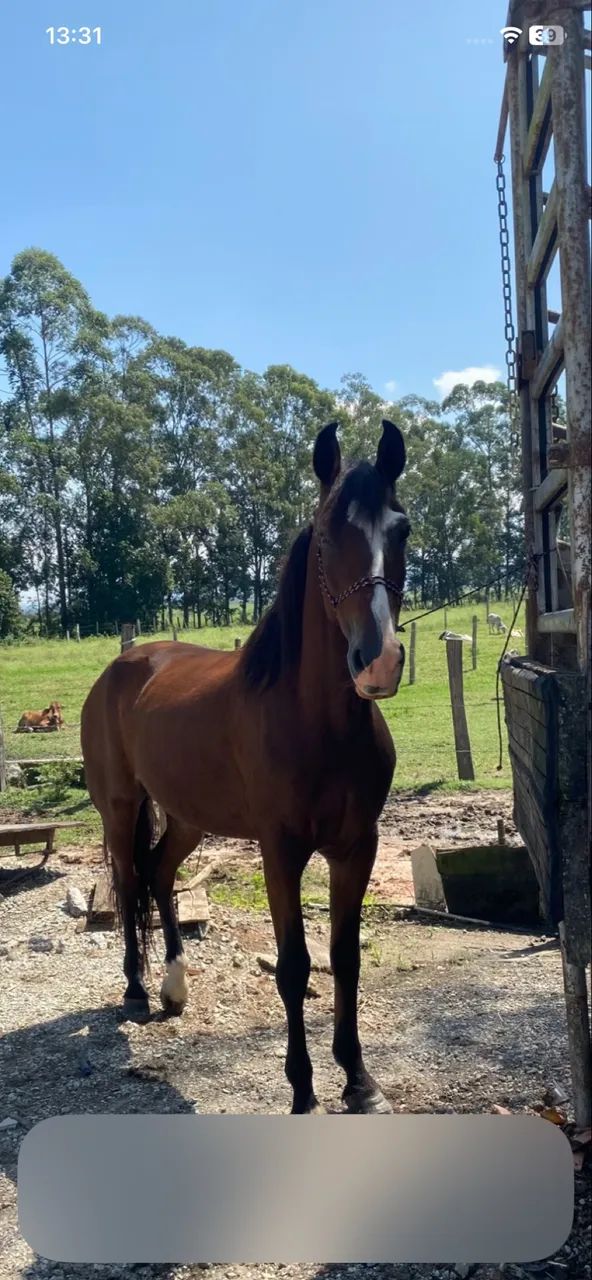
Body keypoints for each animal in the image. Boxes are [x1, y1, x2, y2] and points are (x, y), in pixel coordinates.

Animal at [81, 419, 410, 1115]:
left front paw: (359, 1080)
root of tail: (123, 664)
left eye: (401, 529)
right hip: (120, 809)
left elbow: (344, 958)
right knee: (128, 880)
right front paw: (303, 1089)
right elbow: (293, 966)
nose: (378, 660)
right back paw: (136, 991)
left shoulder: (357, 847)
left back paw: (175, 986)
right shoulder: (280, 850)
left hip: (187, 818)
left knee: (159, 874)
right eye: (327, 533)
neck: (316, 722)